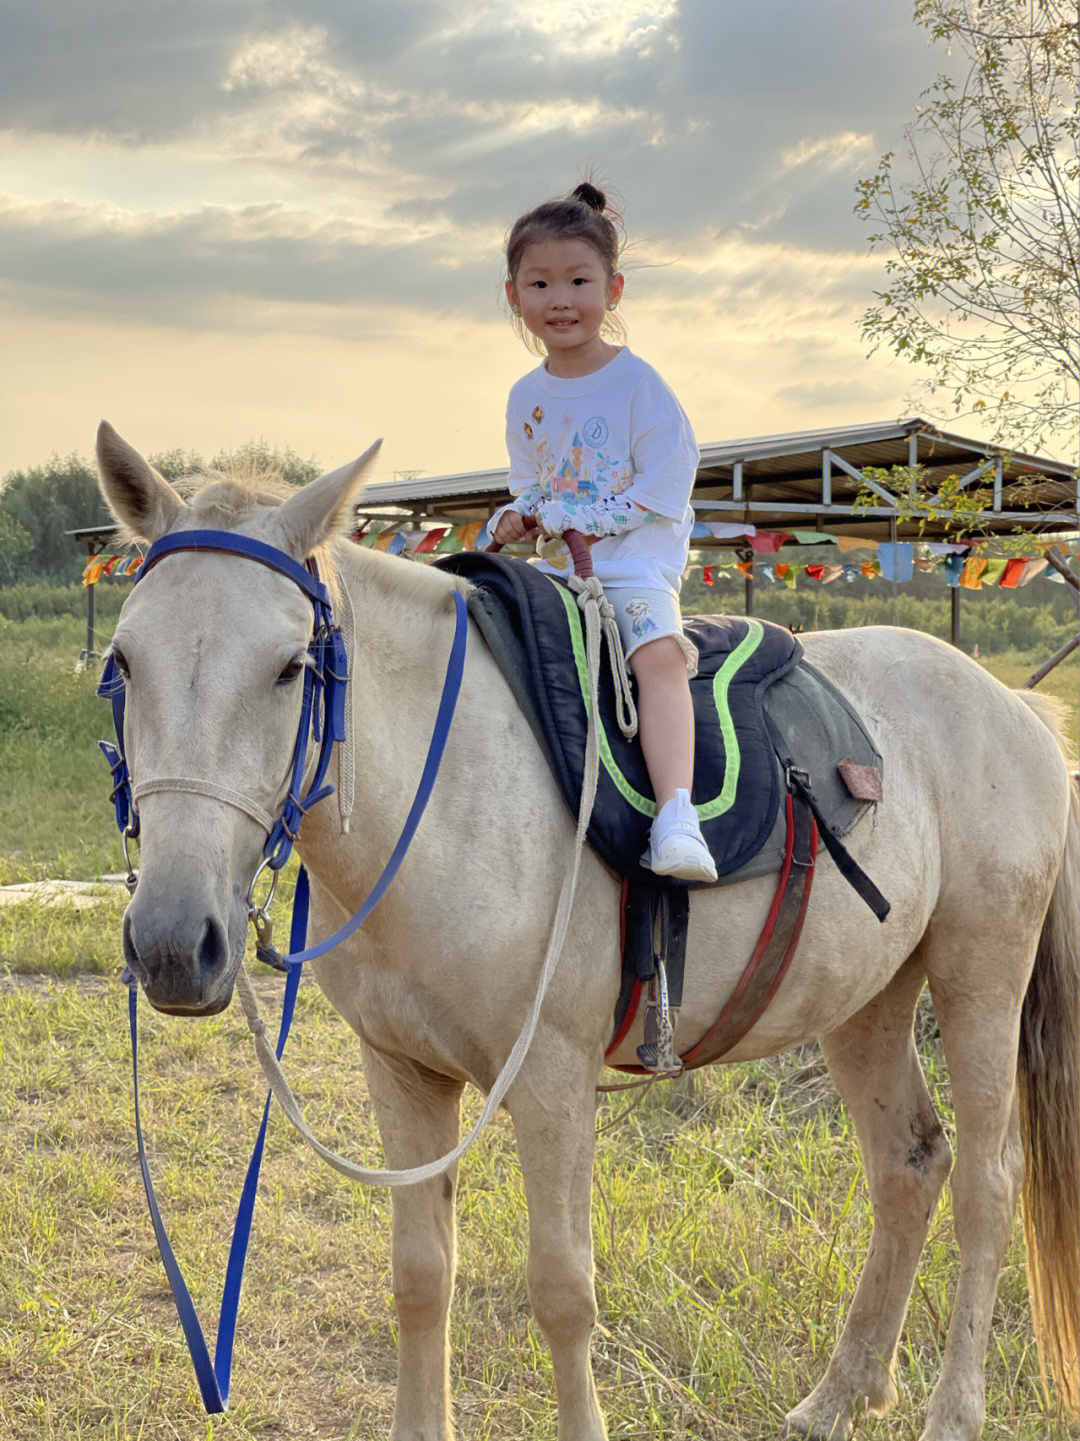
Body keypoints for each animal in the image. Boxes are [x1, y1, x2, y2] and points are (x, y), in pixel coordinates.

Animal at [96, 423, 1072, 1441]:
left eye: (291, 666)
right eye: (123, 661)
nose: (173, 944)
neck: (441, 797)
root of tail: (1015, 709)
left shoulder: (553, 1080)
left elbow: (563, 1291)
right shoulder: (400, 1069)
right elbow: (420, 1277)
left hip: (980, 975)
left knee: (988, 1182)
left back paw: (952, 1411)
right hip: (867, 999)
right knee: (910, 1166)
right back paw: (839, 1394)